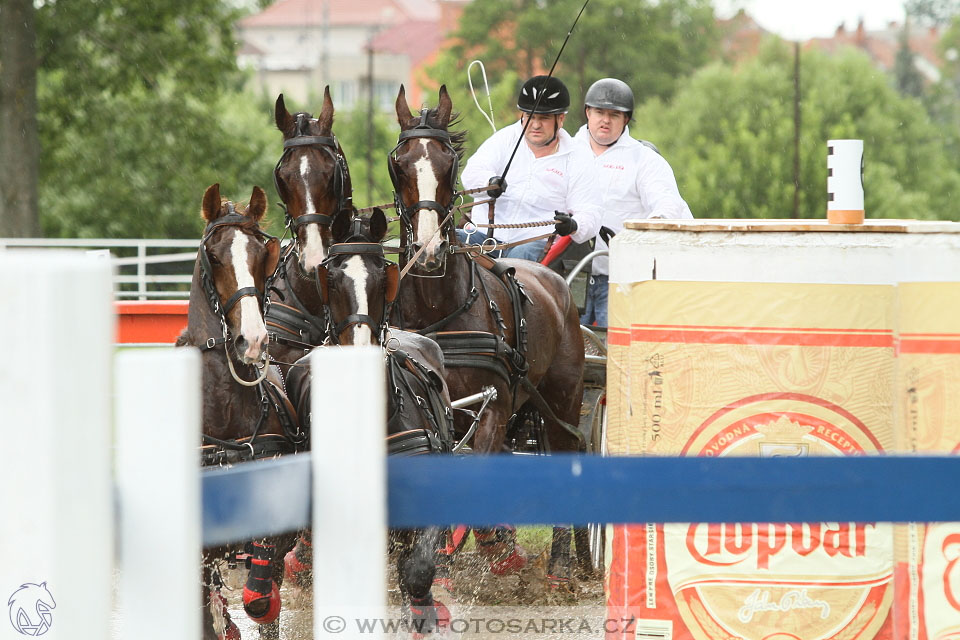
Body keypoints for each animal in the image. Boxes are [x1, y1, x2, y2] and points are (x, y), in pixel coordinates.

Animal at [388, 85, 584, 584]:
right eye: (399, 162)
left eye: (448, 162)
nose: (428, 250)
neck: (441, 310)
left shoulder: (494, 405)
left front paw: (493, 548)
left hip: (562, 399)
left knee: (567, 451)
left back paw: (559, 565)